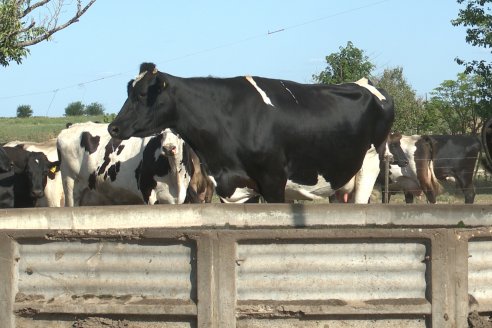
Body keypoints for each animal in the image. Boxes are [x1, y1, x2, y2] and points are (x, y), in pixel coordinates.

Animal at [56, 121, 212, 206]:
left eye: (178, 131)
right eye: (160, 132)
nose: (168, 148)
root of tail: (71, 127)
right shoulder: (148, 194)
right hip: (70, 186)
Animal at [107, 62, 396, 202]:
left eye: (142, 94)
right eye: (129, 91)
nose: (113, 126)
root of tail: (365, 83)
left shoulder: (274, 182)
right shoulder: (232, 189)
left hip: (369, 165)